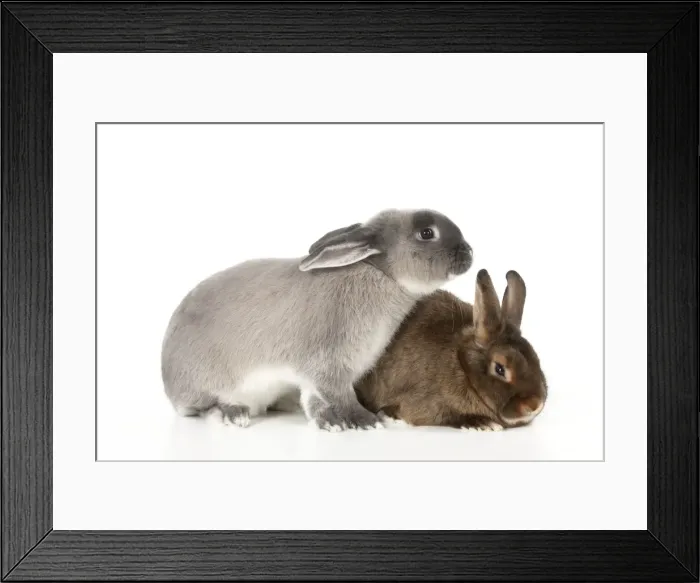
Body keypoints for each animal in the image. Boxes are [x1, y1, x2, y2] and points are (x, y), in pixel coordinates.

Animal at [161, 209, 473, 432]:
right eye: (426, 233)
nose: (469, 253)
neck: (381, 275)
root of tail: (169, 385)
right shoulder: (329, 364)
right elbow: (339, 395)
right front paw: (366, 420)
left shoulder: (316, 375)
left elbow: (314, 400)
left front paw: (330, 423)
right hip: (209, 384)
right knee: (204, 407)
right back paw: (233, 415)